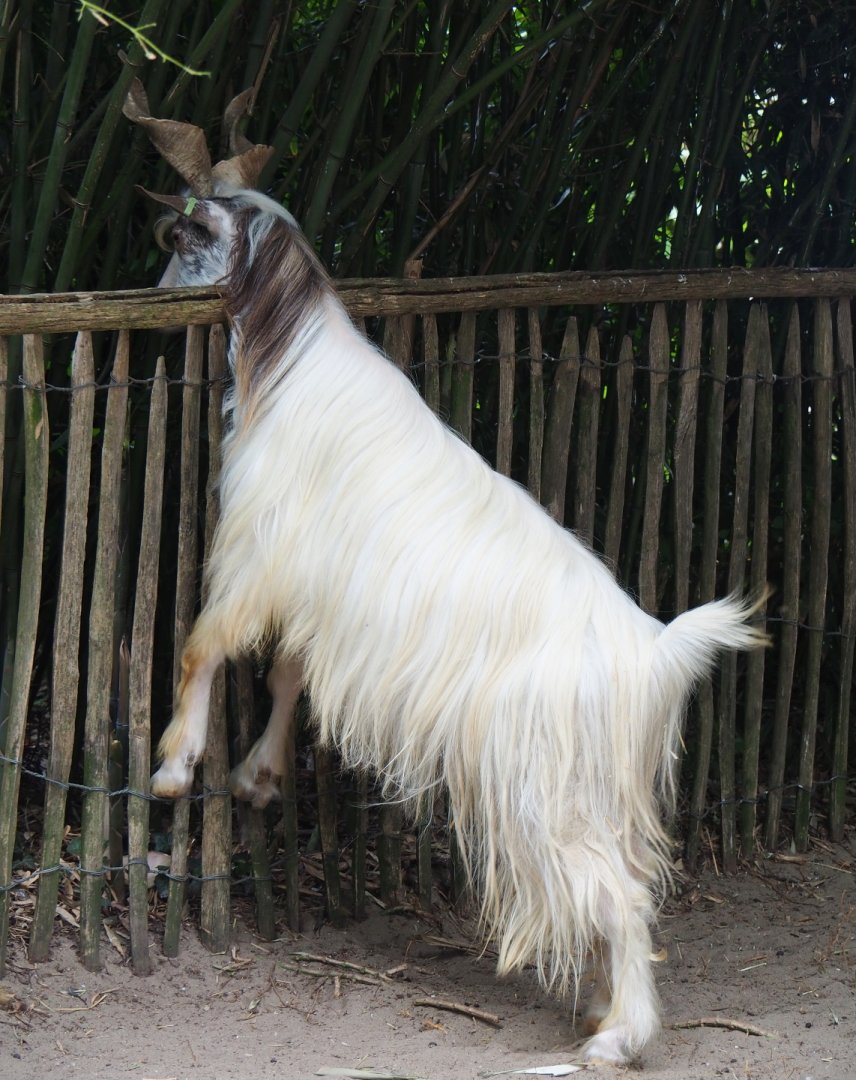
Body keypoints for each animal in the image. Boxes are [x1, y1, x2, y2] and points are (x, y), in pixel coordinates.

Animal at [129, 87, 769, 1066]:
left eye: (185, 232)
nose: (158, 299)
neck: (292, 366)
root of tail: (654, 653)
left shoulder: (257, 550)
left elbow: (208, 645)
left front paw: (174, 768)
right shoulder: (322, 591)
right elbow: (290, 673)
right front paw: (259, 778)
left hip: (542, 787)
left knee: (615, 894)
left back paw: (616, 1038)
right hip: (596, 790)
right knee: (621, 883)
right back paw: (598, 1008)